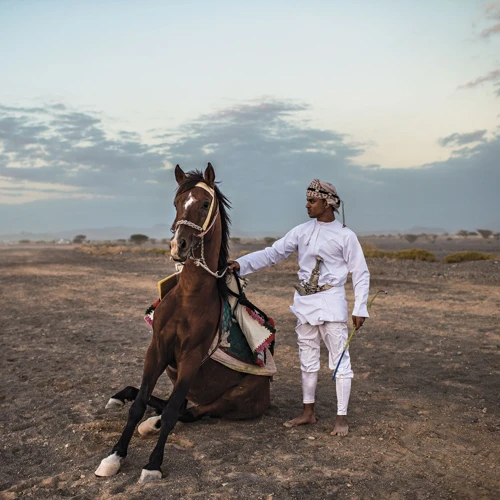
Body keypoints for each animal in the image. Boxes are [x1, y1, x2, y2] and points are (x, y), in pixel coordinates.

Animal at [95, 164, 272, 484]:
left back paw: (154, 424)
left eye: (205, 204)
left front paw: (153, 464)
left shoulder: (190, 358)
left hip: (233, 398)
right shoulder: (156, 350)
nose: (179, 245)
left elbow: (172, 413)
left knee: (188, 412)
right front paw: (114, 456)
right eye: (177, 203)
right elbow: (138, 404)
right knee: (172, 405)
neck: (190, 298)